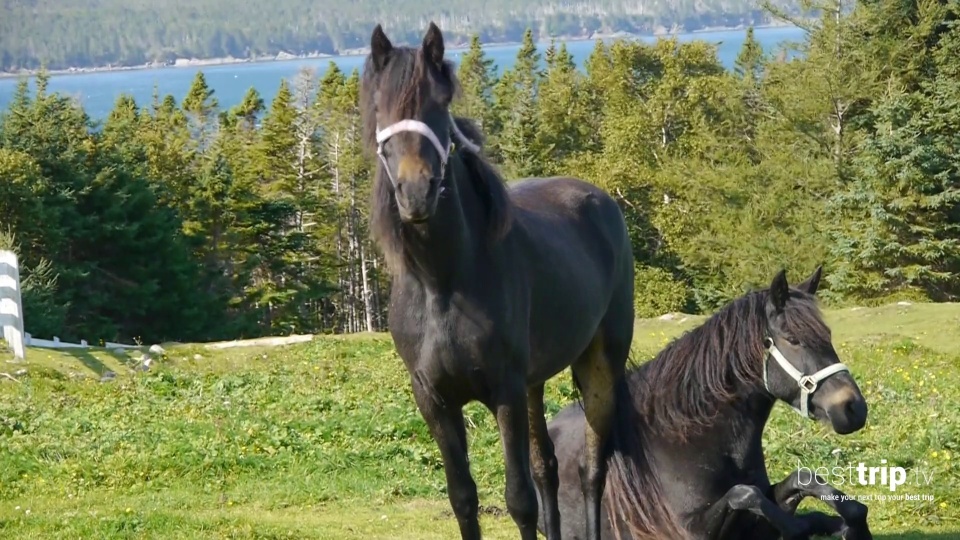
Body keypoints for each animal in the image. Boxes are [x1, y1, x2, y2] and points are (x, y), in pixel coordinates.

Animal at [358, 22, 686, 540]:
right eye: (380, 107)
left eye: (439, 103)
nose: (416, 193)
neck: (442, 284)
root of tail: (600, 200)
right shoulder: (435, 401)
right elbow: (464, 498)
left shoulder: (504, 393)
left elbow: (519, 499)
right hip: (535, 383)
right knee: (546, 467)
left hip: (598, 368)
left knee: (593, 469)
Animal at [542, 266, 872, 540]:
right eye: (793, 339)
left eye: (827, 334)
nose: (853, 408)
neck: (688, 437)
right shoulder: (688, 532)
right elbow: (745, 494)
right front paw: (803, 527)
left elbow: (802, 479)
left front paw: (854, 522)